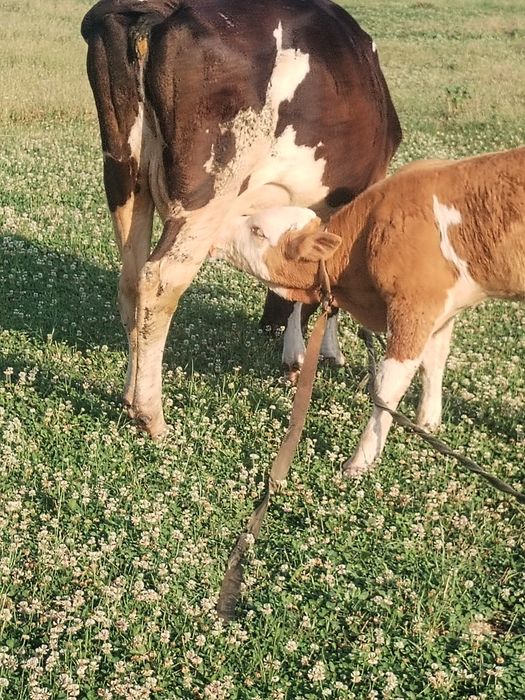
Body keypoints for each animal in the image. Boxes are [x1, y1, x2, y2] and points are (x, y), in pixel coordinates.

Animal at [81, 0, 401, 438]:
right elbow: (323, 286)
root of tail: (161, 12)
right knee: (159, 280)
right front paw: (311, 355)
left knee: (131, 281)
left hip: (124, 176)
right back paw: (151, 415)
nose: (267, 326)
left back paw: (130, 397)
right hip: (208, 191)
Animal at [210, 146, 525, 475]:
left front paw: (360, 460)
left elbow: (387, 387)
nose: (216, 230)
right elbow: (434, 362)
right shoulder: (444, 308)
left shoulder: (414, 307)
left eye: (257, 230)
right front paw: (428, 422)